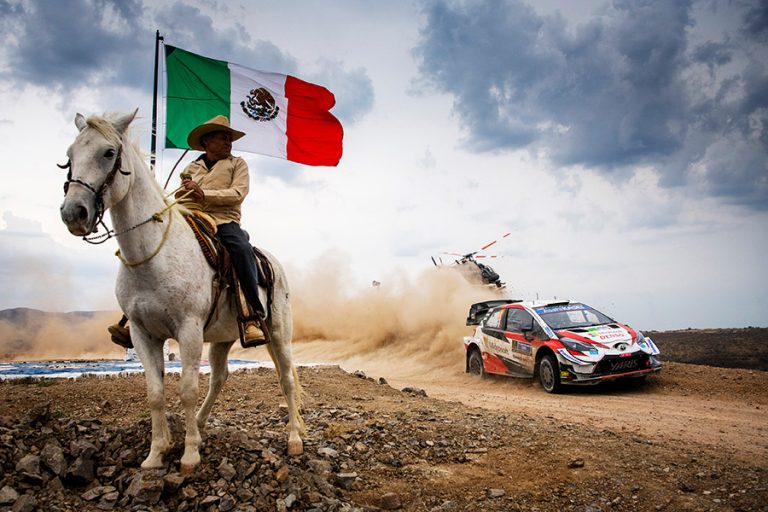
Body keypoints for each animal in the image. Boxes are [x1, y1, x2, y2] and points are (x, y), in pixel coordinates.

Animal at [58, 111, 304, 472]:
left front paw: (189, 455)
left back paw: (294, 440)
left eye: (108, 152)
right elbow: (155, 392)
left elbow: (187, 388)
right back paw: (200, 425)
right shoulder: (143, 334)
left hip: (278, 332)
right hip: (222, 338)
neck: (153, 258)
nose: (74, 213)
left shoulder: (188, 329)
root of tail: (272, 262)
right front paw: (156, 453)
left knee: (286, 377)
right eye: (70, 155)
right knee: (219, 377)